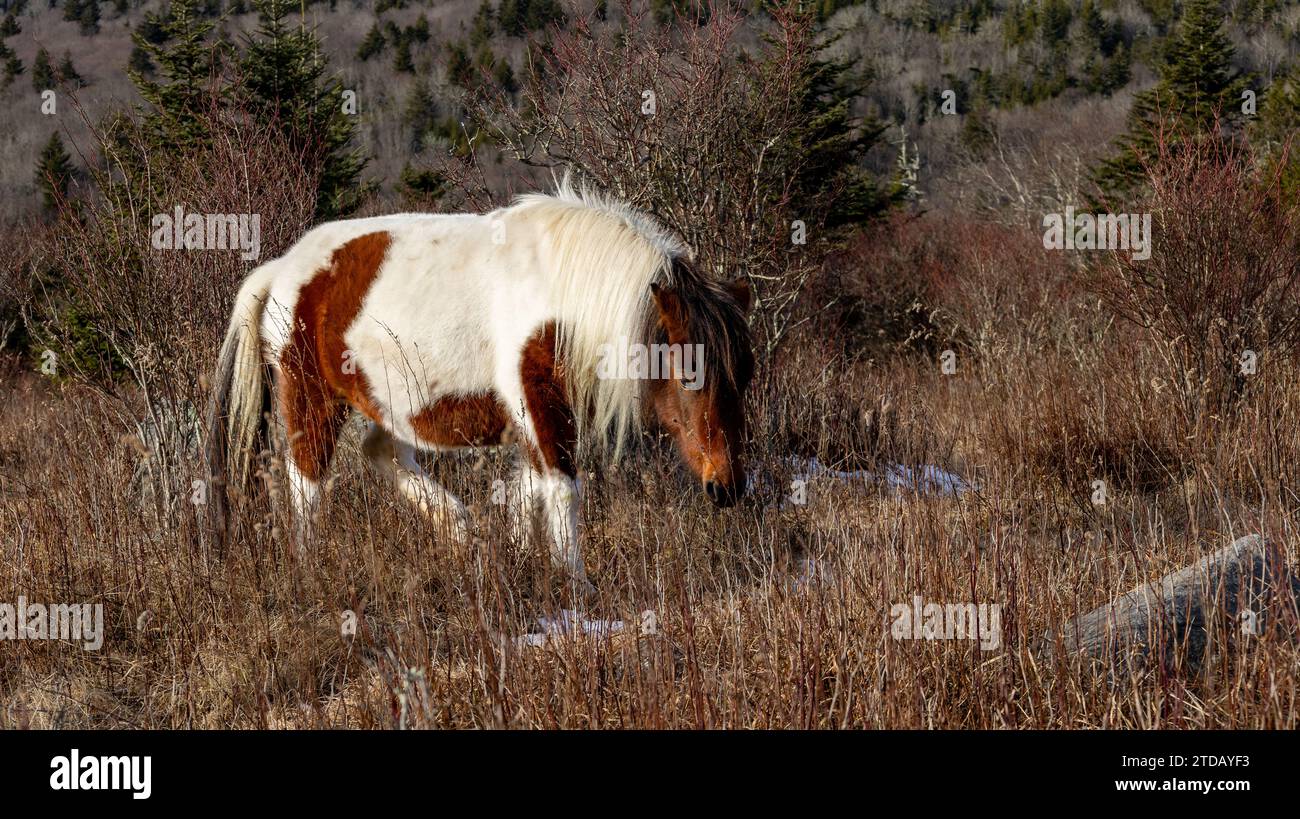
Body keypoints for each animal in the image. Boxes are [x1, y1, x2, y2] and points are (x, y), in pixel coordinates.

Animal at [208, 184, 759, 590]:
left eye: (746, 375)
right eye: (688, 374)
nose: (727, 487)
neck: (559, 289)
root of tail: (281, 269)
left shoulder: (531, 416)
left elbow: (528, 489)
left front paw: (520, 557)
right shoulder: (537, 402)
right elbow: (562, 488)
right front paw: (577, 586)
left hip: (393, 404)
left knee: (381, 453)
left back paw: (462, 532)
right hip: (312, 400)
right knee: (307, 486)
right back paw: (311, 571)